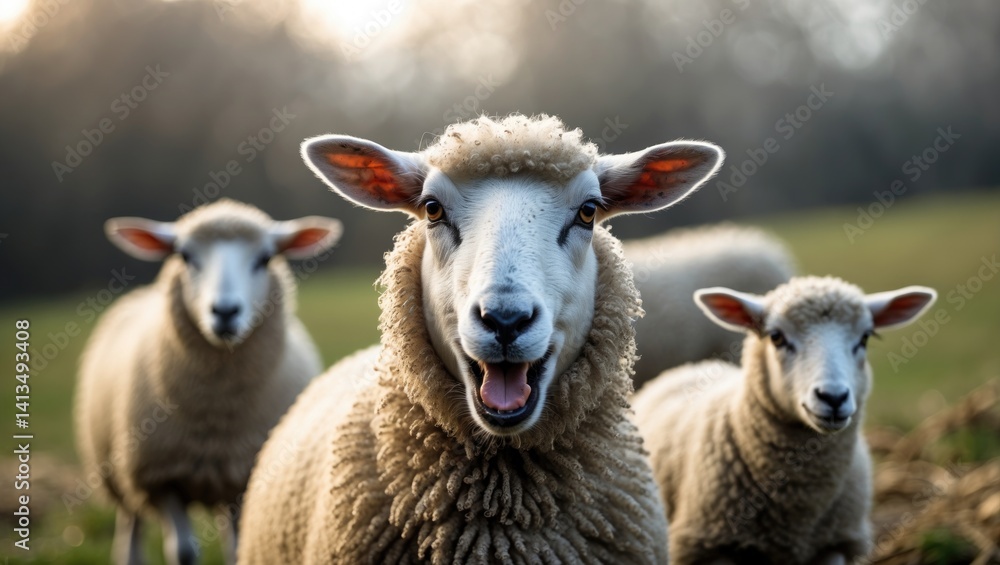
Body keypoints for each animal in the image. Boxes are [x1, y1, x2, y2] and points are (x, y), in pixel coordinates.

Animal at [74, 198, 342, 565]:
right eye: (185, 256)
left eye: (265, 258)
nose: (225, 312)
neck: (217, 410)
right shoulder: (162, 477)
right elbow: (183, 552)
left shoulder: (244, 477)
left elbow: (237, 549)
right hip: (117, 471)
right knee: (131, 524)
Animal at [631, 276, 937, 564]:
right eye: (776, 337)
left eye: (865, 337)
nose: (833, 397)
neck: (798, 507)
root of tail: (690, 368)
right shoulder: (710, 547)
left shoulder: (833, 545)